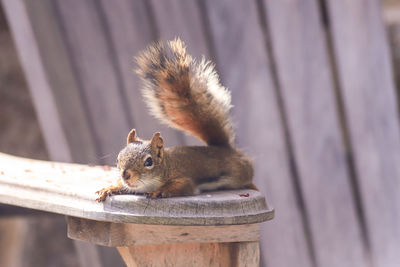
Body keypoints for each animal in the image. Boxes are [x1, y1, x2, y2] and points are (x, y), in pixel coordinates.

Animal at [95, 36, 256, 202]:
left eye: (148, 162)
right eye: (118, 159)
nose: (125, 175)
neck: (166, 166)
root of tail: (224, 148)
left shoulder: (183, 179)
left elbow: (178, 186)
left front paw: (159, 191)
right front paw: (108, 188)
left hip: (240, 171)